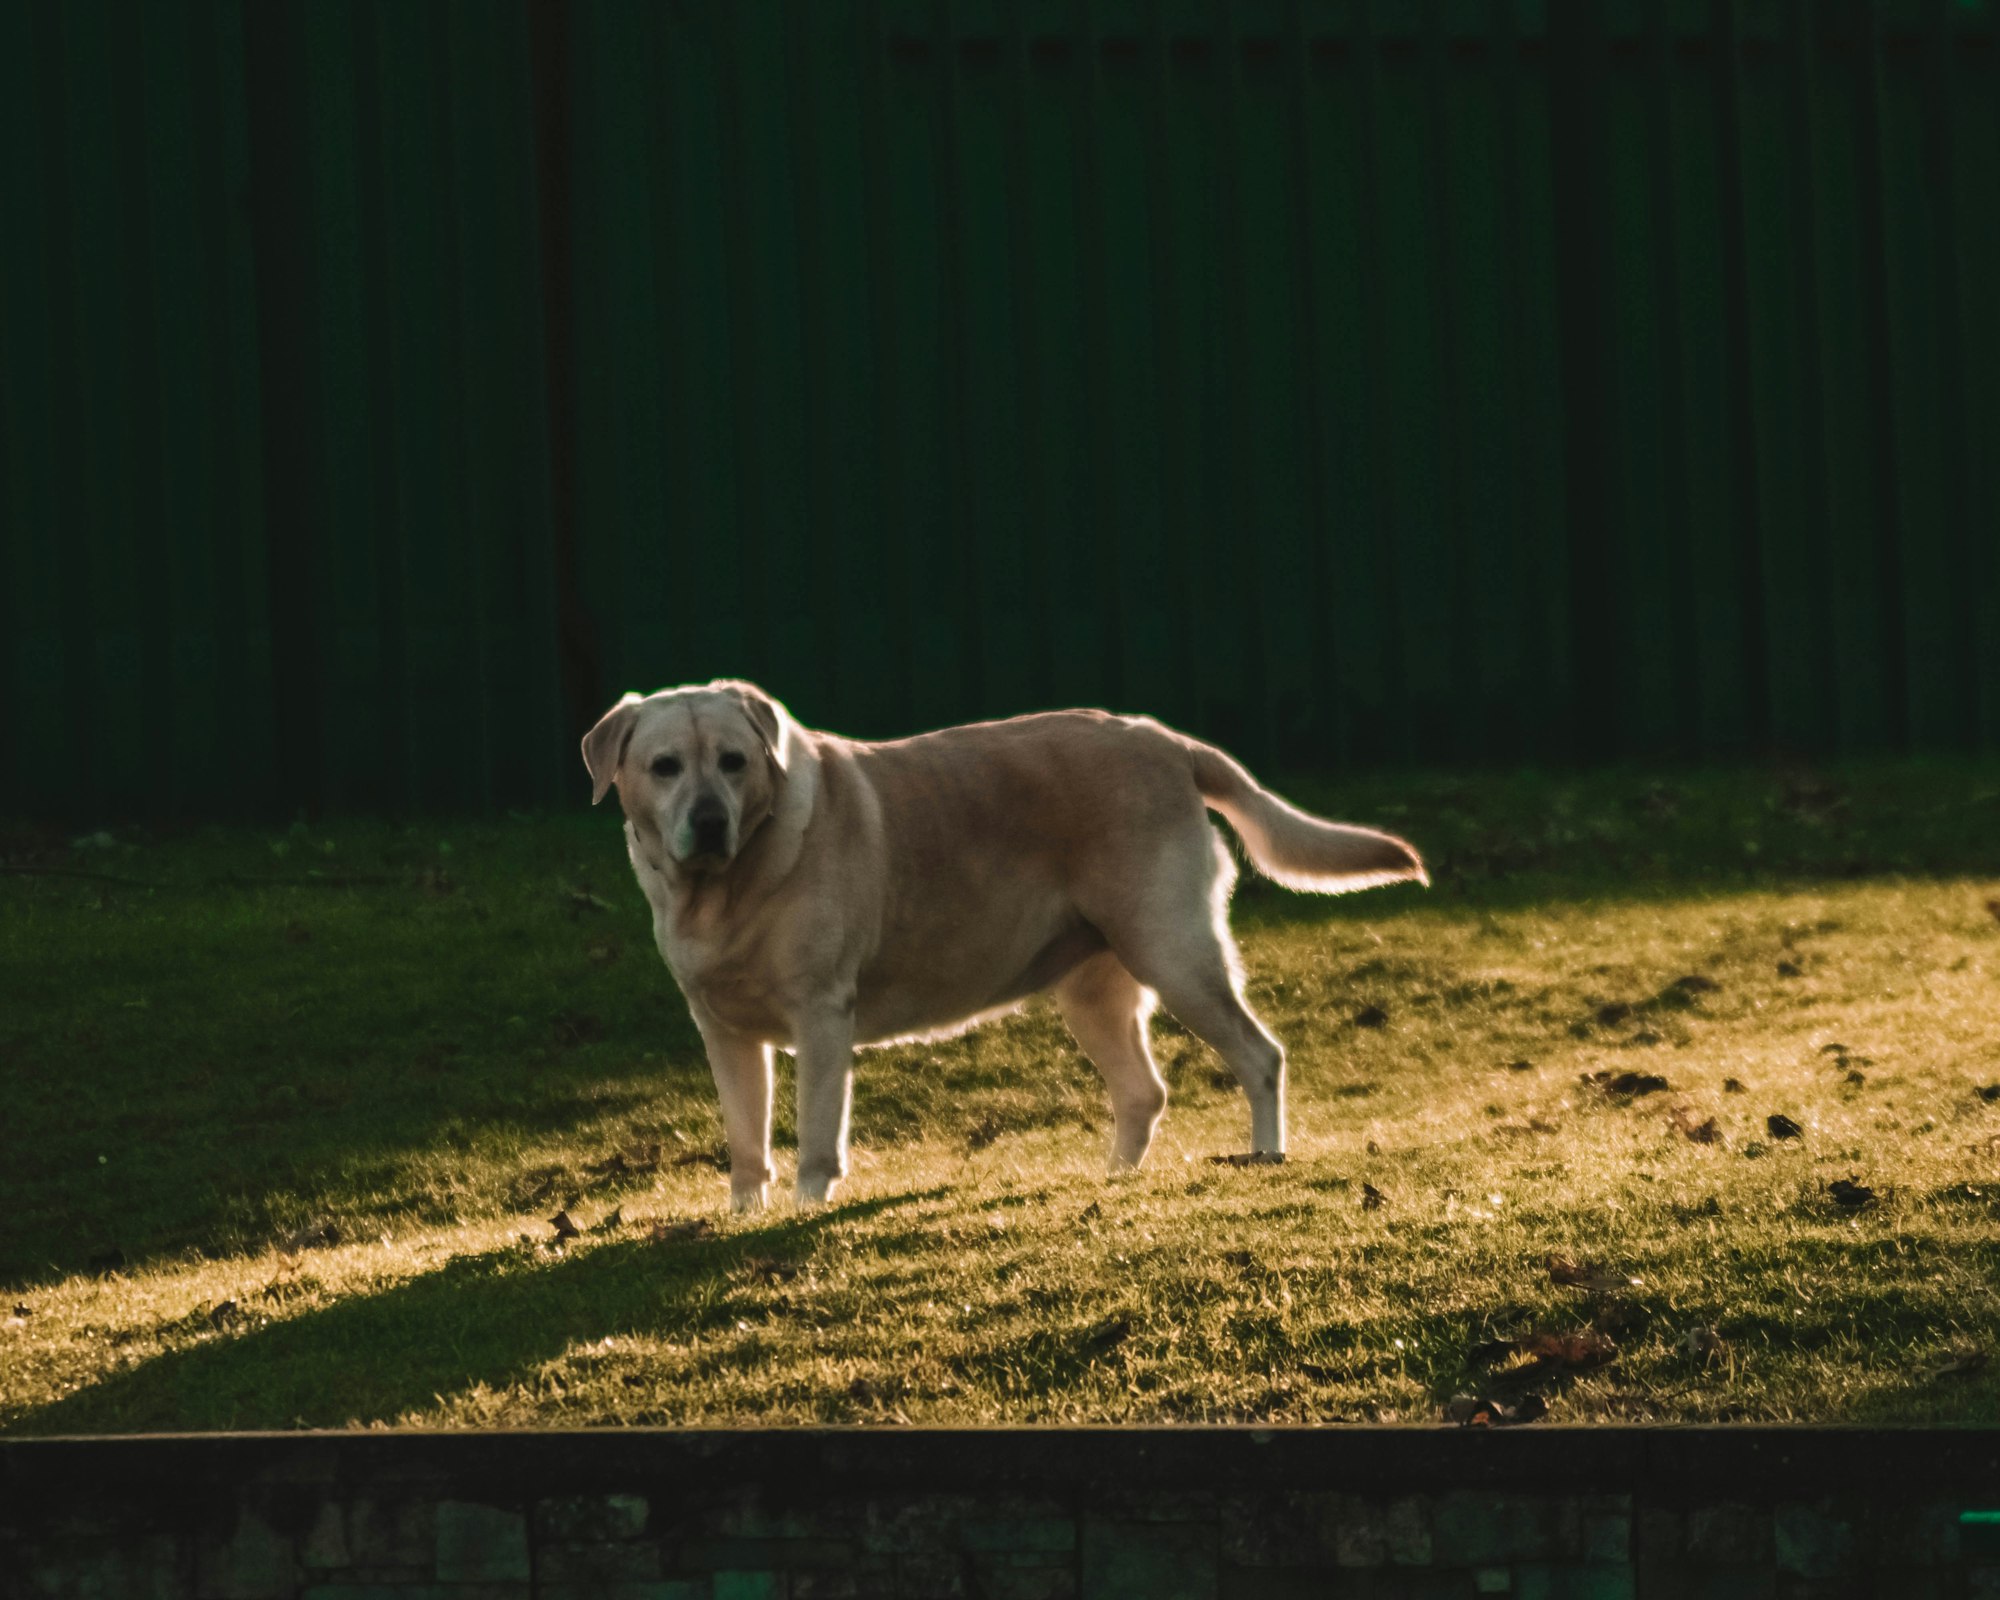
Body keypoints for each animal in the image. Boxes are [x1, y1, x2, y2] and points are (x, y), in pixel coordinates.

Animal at [580, 680, 1424, 1216]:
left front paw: (803, 1209)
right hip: (1094, 992)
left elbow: (817, 1138)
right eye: (664, 768)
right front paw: (747, 1214)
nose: (709, 821)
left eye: (734, 761)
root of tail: (1167, 739)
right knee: (1144, 1092)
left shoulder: (821, 1019)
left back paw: (1265, 1158)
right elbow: (746, 1143)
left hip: (1176, 953)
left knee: (1259, 1055)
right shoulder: (724, 1034)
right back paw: (1114, 1183)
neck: (726, 889)